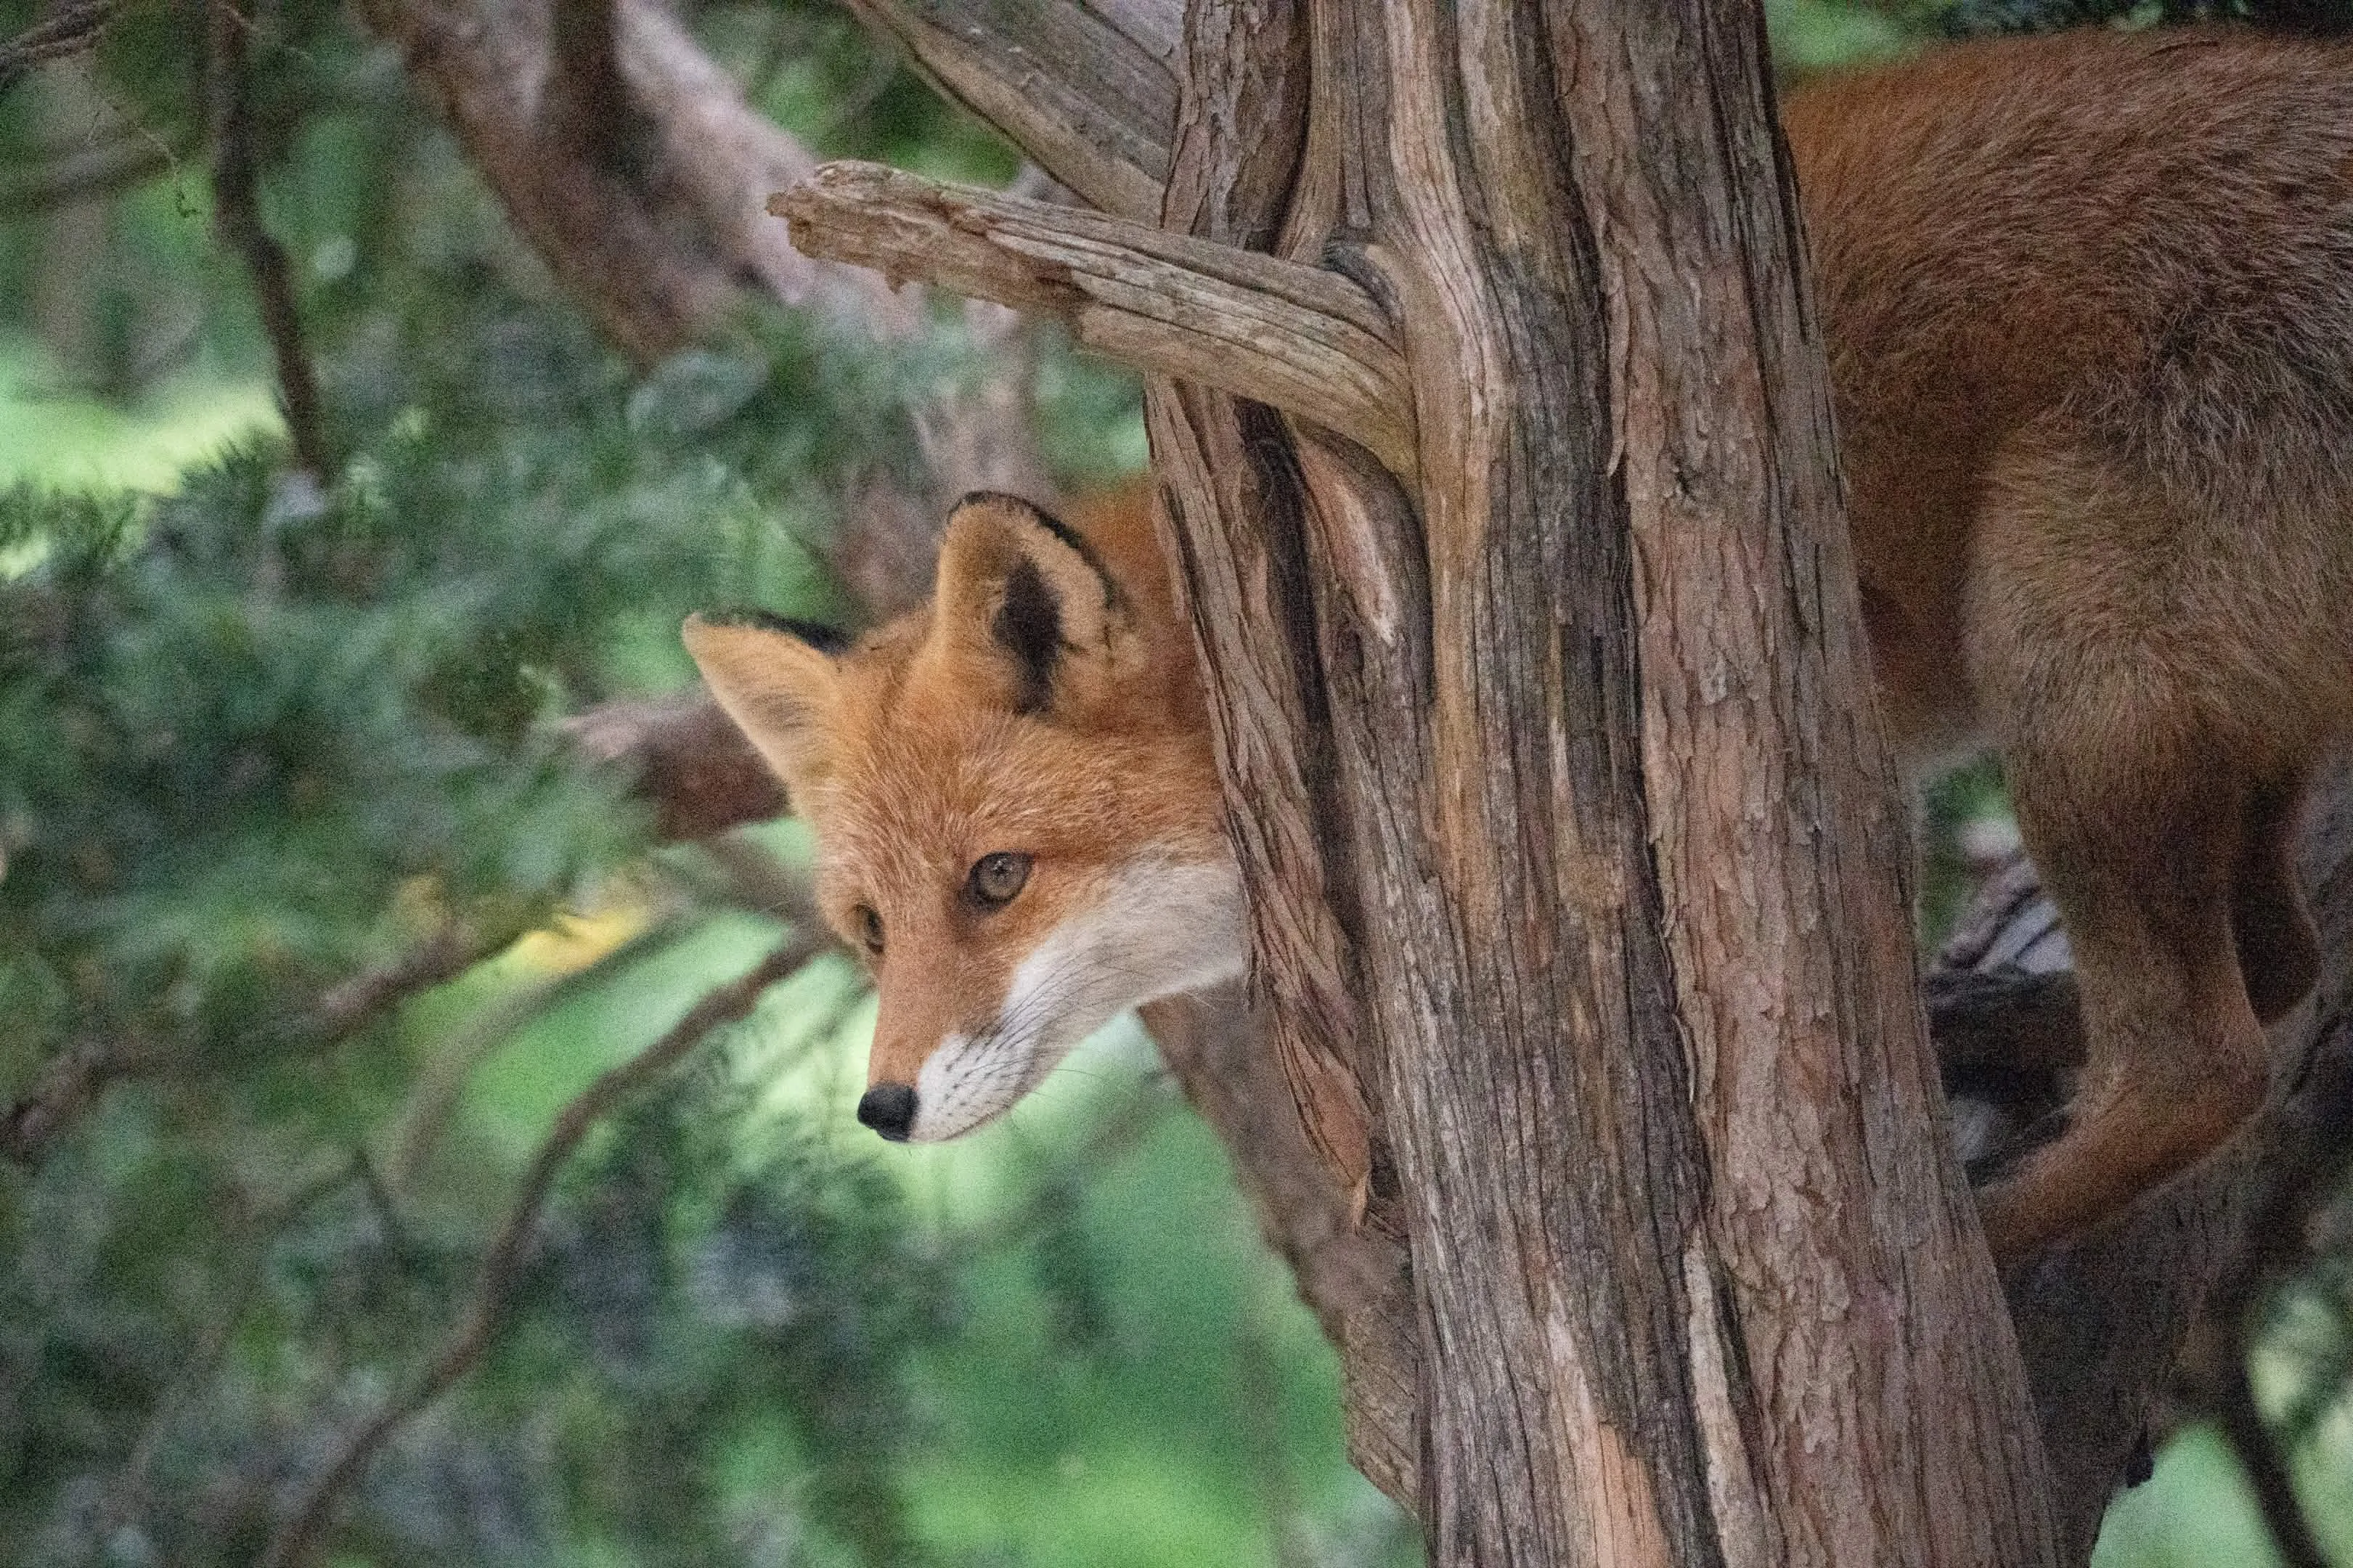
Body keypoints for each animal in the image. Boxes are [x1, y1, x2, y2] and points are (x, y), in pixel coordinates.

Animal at [688, 24, 2353, 1262]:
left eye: (996, 881)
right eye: (870, 930)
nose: (884, 1109)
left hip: (2064, 679)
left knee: (2206, 1062)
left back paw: (1987, 1246)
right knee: (2282, 967)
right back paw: (2004, 1034)